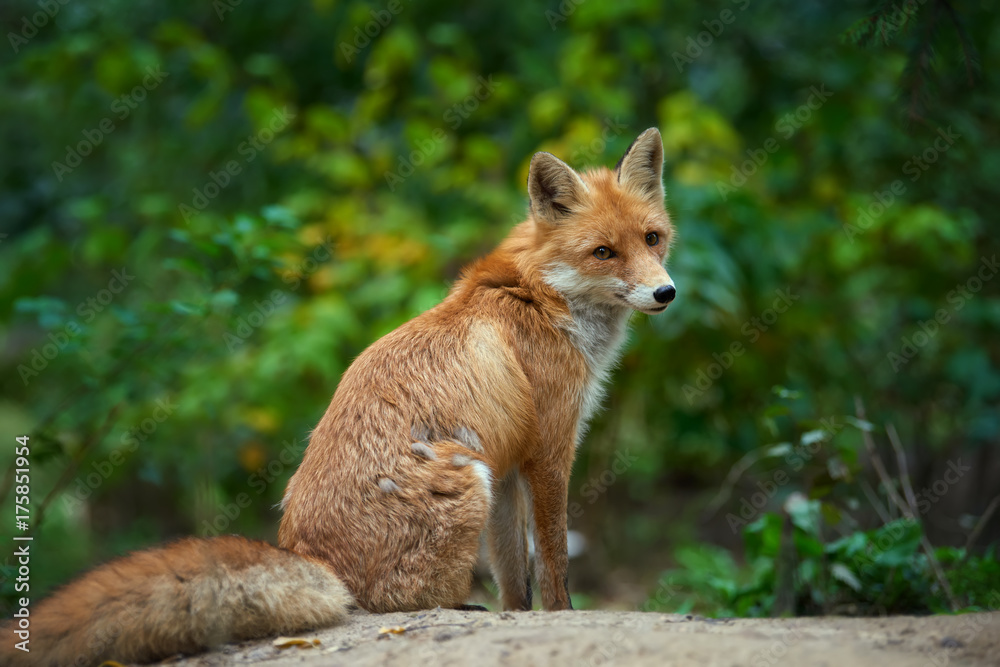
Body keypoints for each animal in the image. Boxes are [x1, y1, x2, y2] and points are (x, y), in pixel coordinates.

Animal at [2, 128, 676, 666]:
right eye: (603, 252)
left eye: (653, 239)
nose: (666, 292)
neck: (541, 296)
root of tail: (313, 556)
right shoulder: (549, 452)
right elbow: (555, 562)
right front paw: (563, 617)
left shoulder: (512, 464)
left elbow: (517, 577)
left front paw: (522, 615)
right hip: (468, 480)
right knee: (398, 604)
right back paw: (456, 608)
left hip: (484, 477)